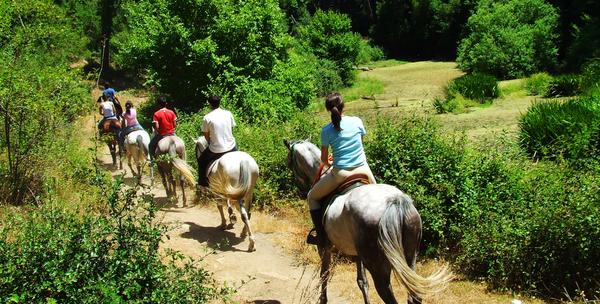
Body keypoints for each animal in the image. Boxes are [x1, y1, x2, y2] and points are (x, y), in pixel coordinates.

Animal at [284, 138, 450, 304]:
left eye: (289, 161)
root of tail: (395, 201)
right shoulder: (358, 255)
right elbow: (362, 281)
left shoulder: (325, 248)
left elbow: (324, 274)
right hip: (410, 258)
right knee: (414, 295)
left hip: (378, 267)